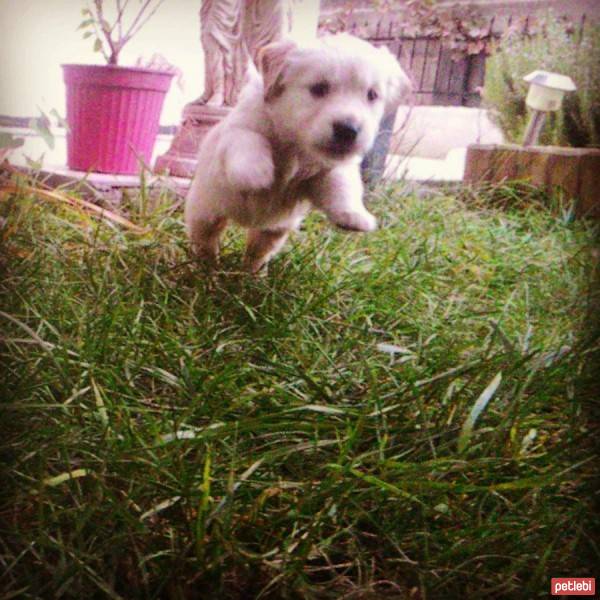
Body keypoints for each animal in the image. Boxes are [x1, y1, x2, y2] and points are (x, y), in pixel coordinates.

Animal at [185, 32, 410, 272]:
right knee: (206, 243)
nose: (348, 130)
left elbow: (343, 184)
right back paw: (207, 270)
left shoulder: (327, 171)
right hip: (204, 214)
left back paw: (252, 275)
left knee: (256, 254)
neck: (296, 143)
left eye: (372, 95)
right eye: (319, 88)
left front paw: (353, 215)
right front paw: (258, 174)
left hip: (273, 232)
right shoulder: (234, 132)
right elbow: (250, 140)